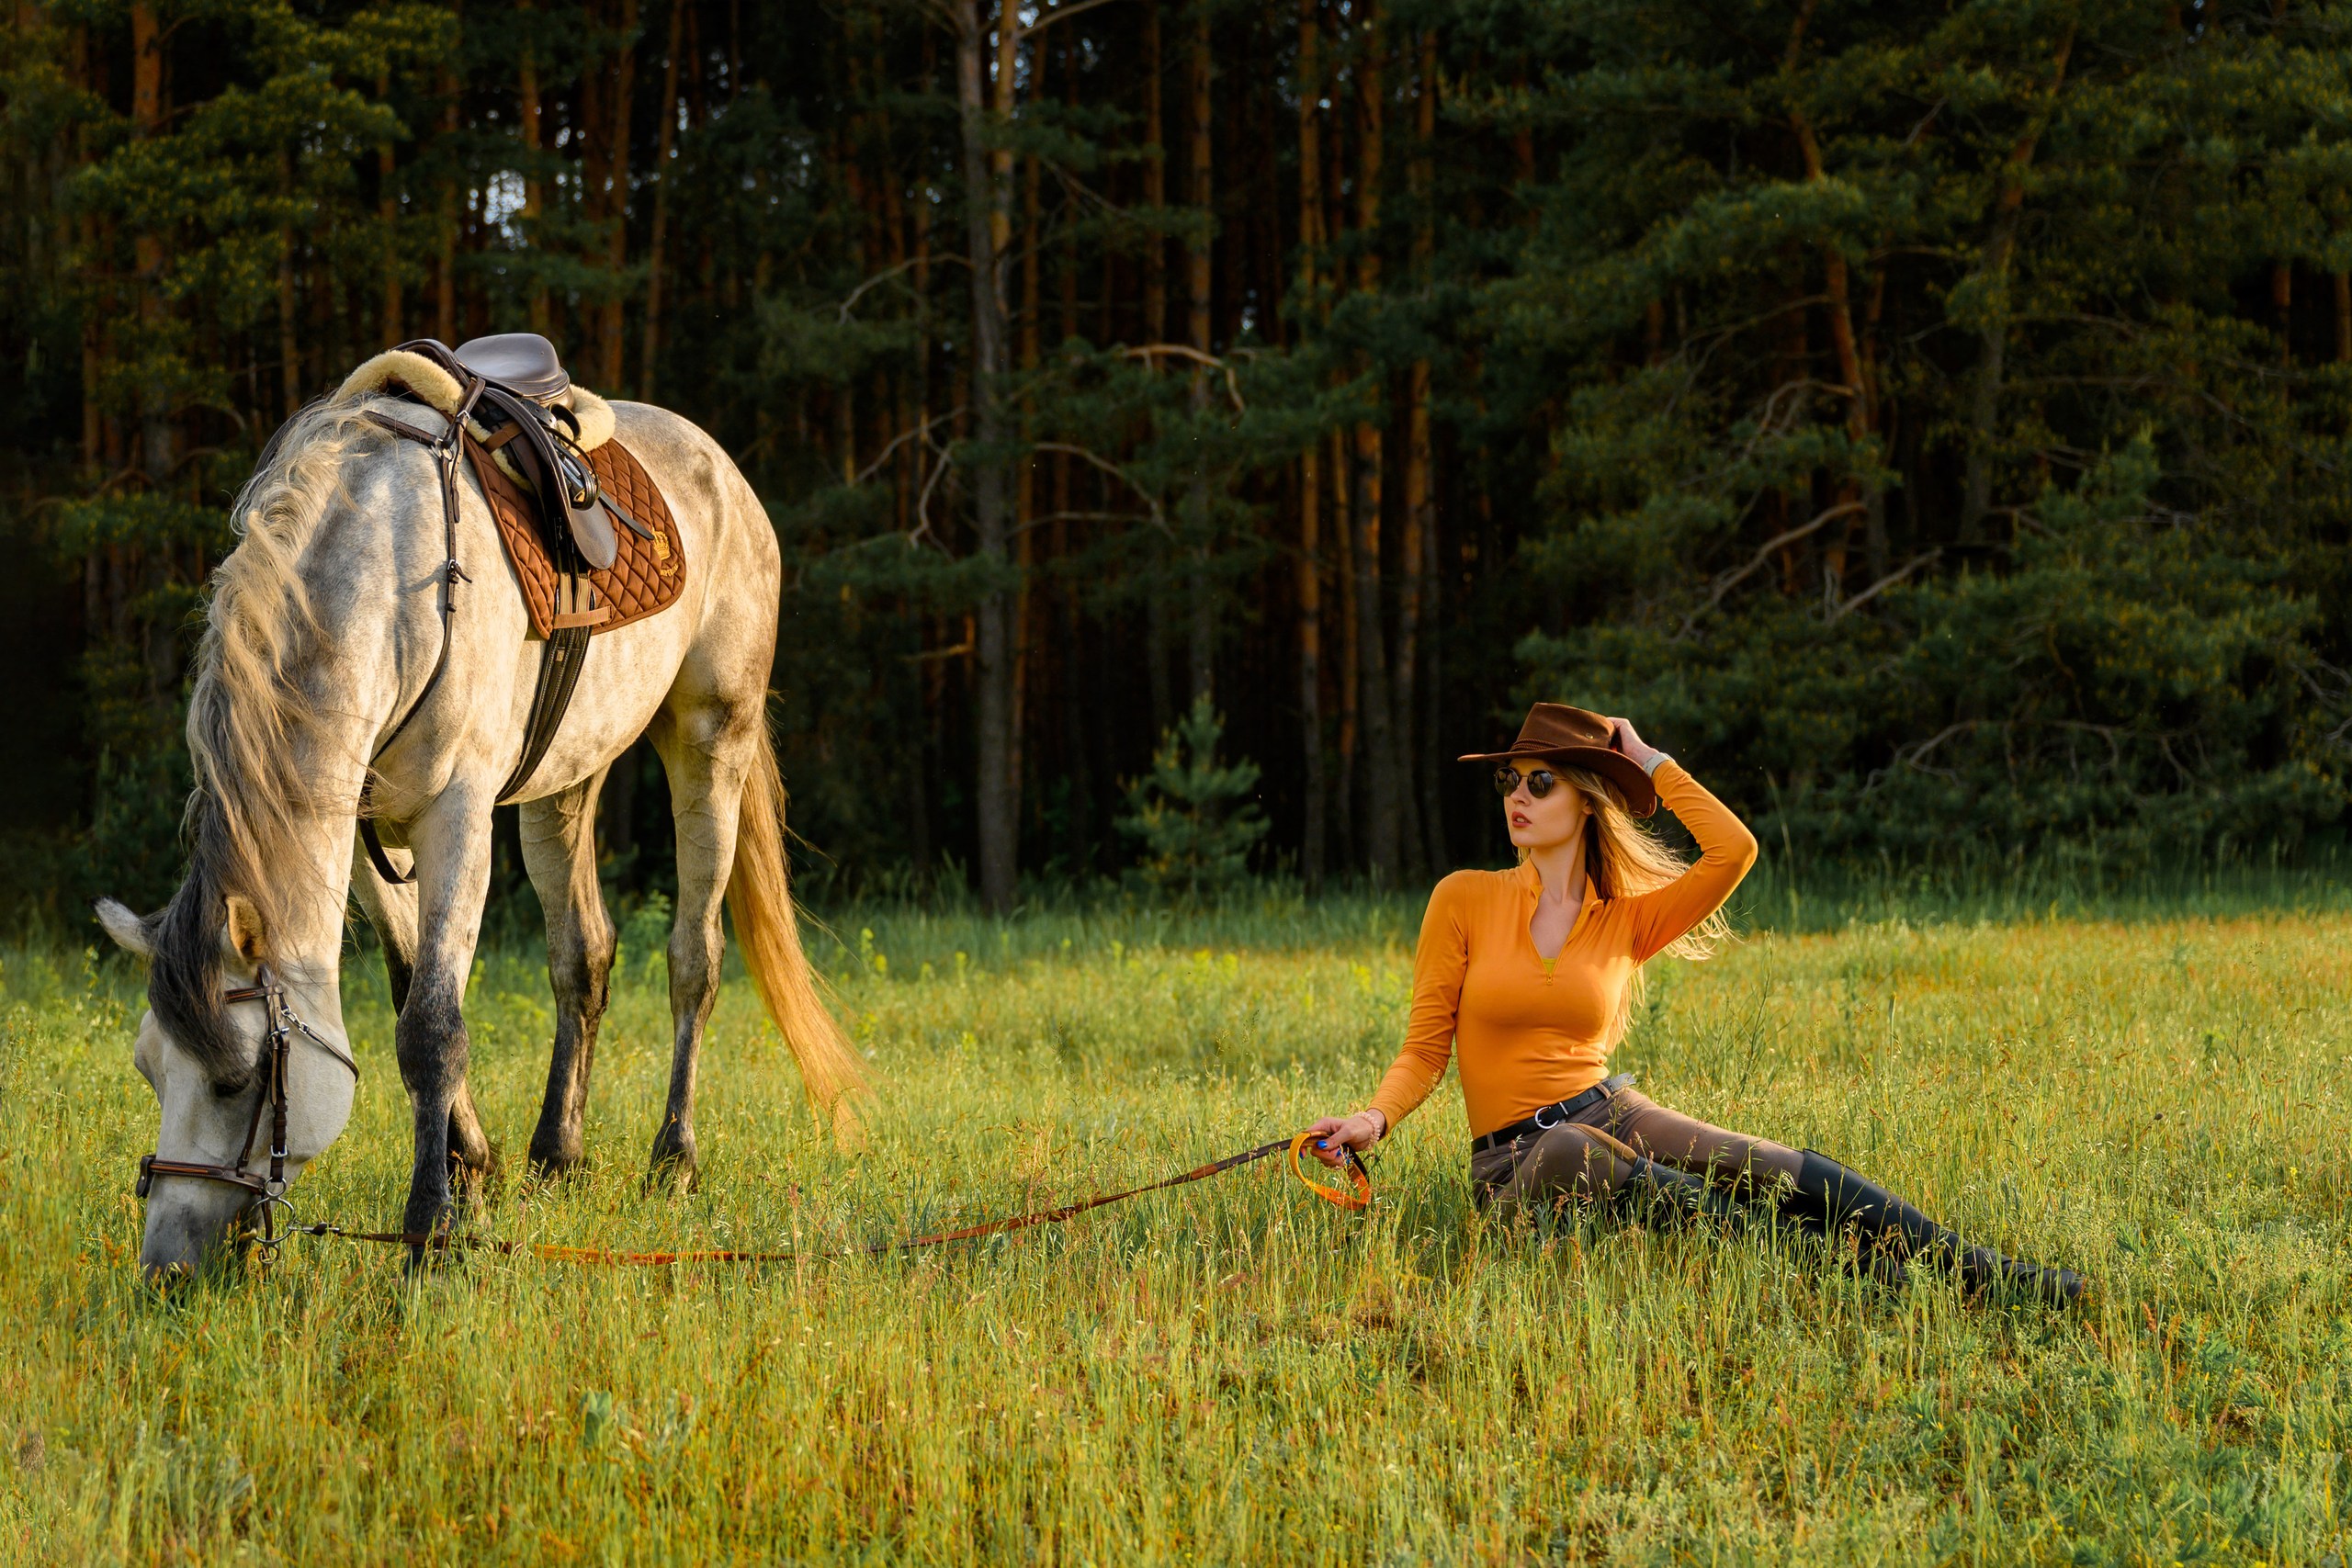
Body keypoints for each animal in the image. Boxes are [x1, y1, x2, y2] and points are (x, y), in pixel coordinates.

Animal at [96, 373, 865, 1279]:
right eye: (150, 1070)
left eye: (236, 1079)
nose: (166, 1269)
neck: (388, 584)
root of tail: (721, 468)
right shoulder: (368, 840)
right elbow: (409, 990)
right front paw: (474, 1172)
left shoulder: (457, 817)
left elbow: (431, 1025)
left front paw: (431, 1228)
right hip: (564, 782)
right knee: (583, 955)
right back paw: (556, 1154)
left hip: (713, 741)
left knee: (694, 960)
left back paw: (673, 1159)